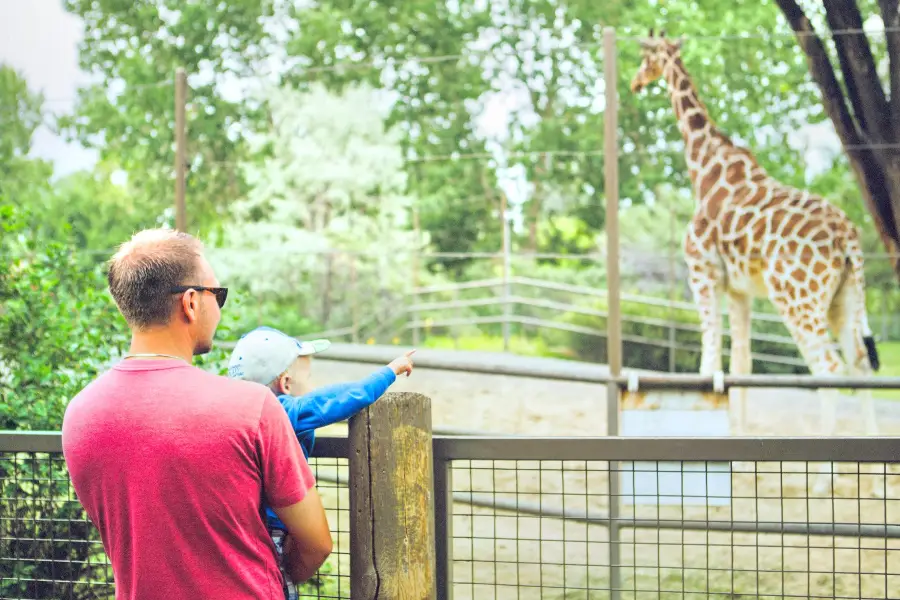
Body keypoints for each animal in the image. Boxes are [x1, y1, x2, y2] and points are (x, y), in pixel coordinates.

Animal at [628, 28, 884, 496]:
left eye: (647, 58)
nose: (636, 82)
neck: (705, 168)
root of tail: (848, 238)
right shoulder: (740, 290)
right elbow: (740, 366)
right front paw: (740, 460)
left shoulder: (702, 274)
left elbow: (709, 362)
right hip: (844, 298)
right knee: (857, 363)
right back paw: (873, 479)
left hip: (797, 298)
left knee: (828, 367)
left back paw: (824, 478)